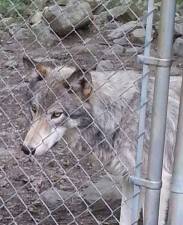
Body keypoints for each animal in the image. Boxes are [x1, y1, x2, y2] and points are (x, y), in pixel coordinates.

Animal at [21, 55, 180, 225]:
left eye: (56, 114)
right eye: (34, 109)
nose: (26, 149)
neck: (121, 115)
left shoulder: (157, 184)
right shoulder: (129, 179)